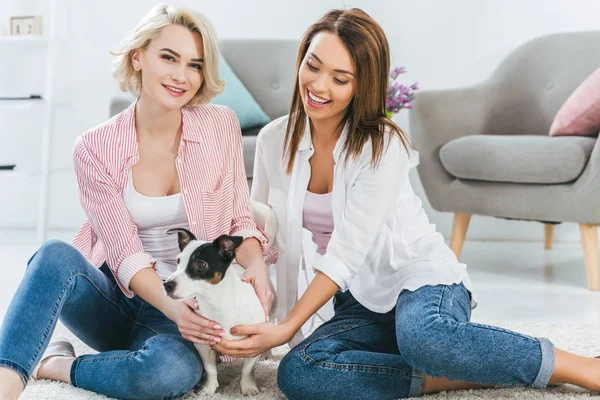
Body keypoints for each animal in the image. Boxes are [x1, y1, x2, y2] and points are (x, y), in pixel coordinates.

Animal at [163, 202, 278, 396]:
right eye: (178, 261)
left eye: (201, 264)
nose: (166, 284)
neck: (217, 302)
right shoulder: (202, 343)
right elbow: (209, 369)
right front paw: (209, 388)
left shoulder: (252, 343)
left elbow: (247, 369)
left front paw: (248, 387)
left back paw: (267, 354)